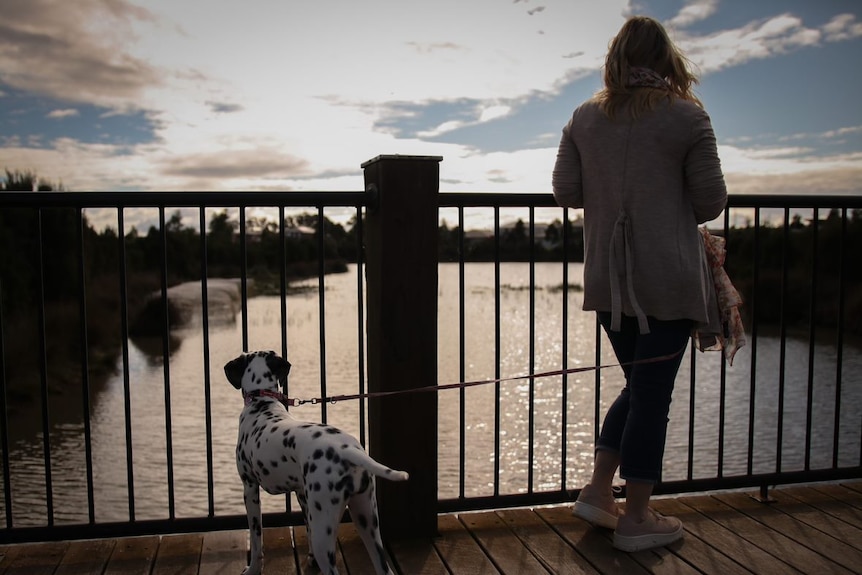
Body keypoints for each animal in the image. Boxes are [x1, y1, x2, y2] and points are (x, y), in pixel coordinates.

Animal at [226, 352, 408, 575]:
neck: (262, 404)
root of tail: (347, 450)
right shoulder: (302, 494)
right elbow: (307, 530)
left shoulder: (250, 488)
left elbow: (256, 539)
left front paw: (252, 569)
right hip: (366, 519)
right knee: (383, 567)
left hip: (326, 526)